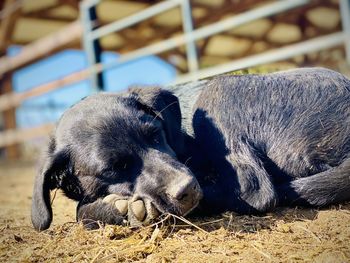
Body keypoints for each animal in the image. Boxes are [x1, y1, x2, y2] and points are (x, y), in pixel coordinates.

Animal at [30, 68, 350, 231]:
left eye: (156, 135)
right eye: (114, 168)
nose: (187, 189)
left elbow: (79, 211)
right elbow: (80, 209)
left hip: (217, 90)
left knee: (256, 191)